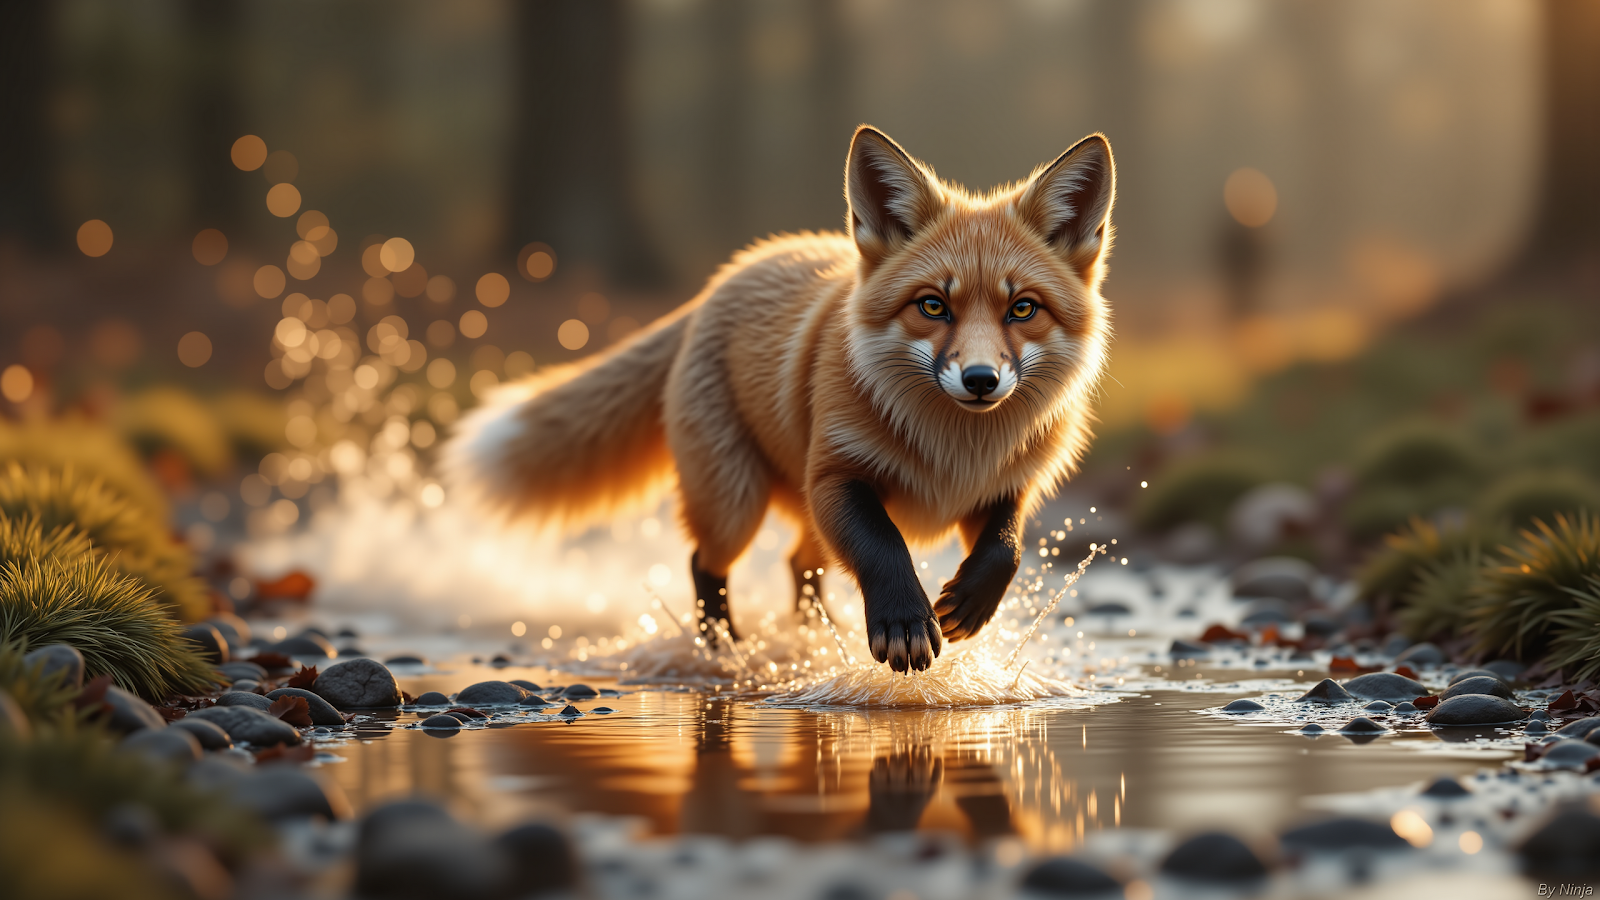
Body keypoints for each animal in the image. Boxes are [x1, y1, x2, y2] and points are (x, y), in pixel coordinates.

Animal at [444, 126, 1115, 674]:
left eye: (1021, 308)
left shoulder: (1007, 486)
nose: (980, 380)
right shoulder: (836, 476)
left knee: (798, 567)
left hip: (788, 509)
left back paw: (814, 639)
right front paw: (904, 620)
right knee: (705, 564)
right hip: (735, 504)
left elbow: (1007, 548)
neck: (954, 453)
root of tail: (727, 275)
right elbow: (884, 548)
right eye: (932, 305)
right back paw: (725, 650)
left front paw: (968, 604)